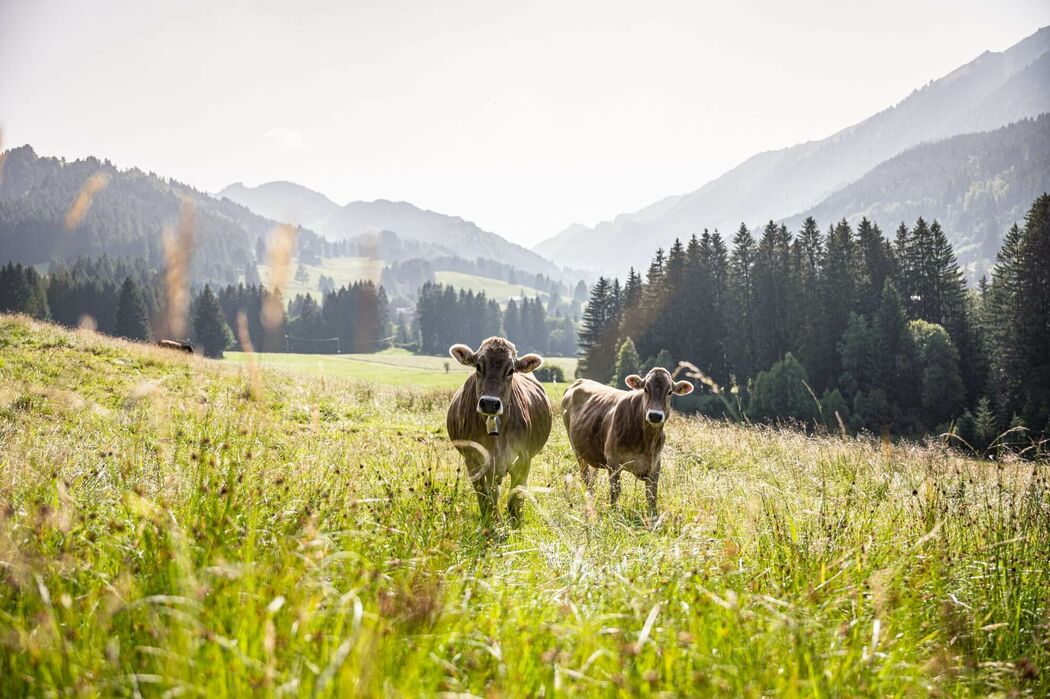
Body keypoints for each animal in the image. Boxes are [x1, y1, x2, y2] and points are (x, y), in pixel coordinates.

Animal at [447, 335, 554, 520]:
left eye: (511, 370)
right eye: (478, 366)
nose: (490, 403)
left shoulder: (523, 459)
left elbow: (515, 498)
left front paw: (514, 522)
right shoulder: (473, 460)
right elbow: (485, 496)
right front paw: (492, 521)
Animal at [562, 367, 692, 514]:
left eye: (669, 391)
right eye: (645, 389)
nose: (655, 415)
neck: (646, 441)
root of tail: (579, 381)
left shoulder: (655, 465)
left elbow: (652, 496)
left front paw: (653, 516)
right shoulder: (613, 461)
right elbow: (615, 491)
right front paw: (614, 513)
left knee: (592, 476)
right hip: (577, 450)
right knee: (585, 476)